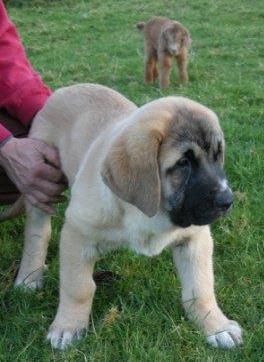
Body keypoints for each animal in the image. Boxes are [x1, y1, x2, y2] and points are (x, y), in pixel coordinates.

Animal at [13, 83, 242, 350]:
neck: (151, 214)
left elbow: (200, 287)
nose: (227, 201)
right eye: (183, 162)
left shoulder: (195, 238)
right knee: (38, 233)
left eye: (218, 155)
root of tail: (67, 89)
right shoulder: (76, 235)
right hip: (40, 181)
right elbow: (78, 287)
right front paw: (67, 327)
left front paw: (216, 326)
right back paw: (29, 277)